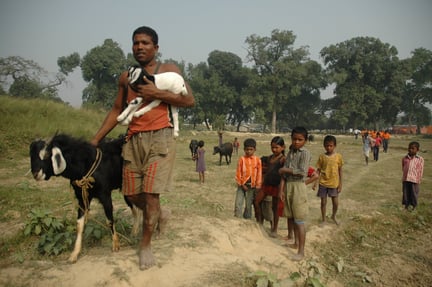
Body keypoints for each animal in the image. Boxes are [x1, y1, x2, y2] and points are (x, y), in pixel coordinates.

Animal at [30, 134, 138, 264]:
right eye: (31, 156)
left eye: (46, 155)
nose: (35, 174)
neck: (85, 164)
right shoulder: (82, 198)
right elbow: (79, 224)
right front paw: (74, 254)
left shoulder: (105, 194)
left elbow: (109, 220)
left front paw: (115, 245)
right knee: (135, 208)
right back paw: (134, 233)